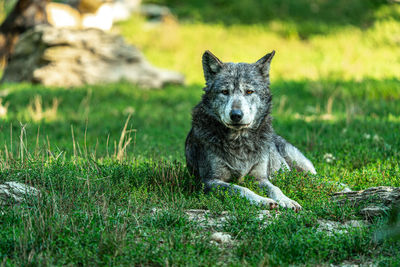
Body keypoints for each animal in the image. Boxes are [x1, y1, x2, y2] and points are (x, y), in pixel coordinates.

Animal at [186, 51, 318, 213]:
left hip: (303, 167)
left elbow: (275, 188)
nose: (236, 115)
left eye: (249, 91)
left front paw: (286, 200)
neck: (239, 142)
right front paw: (263, 201)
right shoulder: (211, 181)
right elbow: (241, 189)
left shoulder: (260, 178)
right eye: (225, 92)